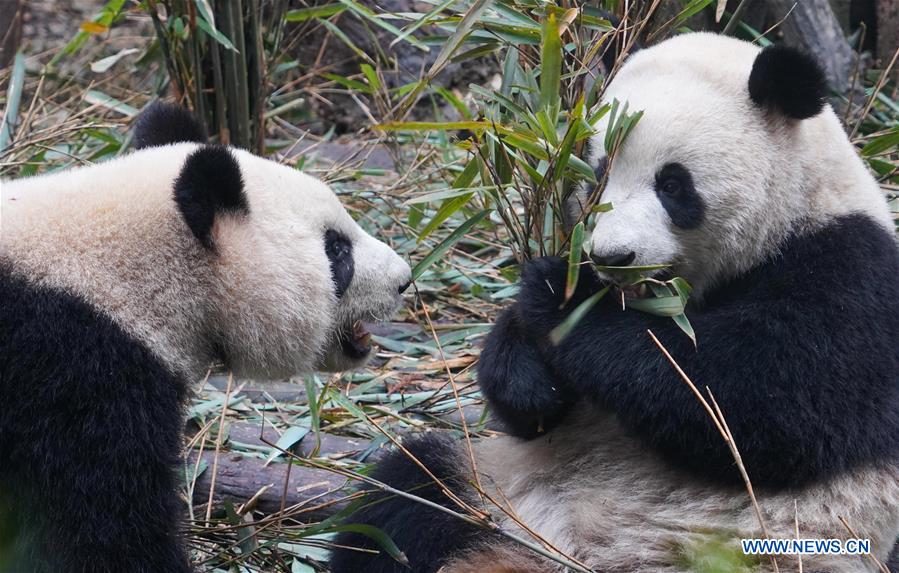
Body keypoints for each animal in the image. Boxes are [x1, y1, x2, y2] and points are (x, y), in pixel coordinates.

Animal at [330, 33, 899, 573]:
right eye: (598, 172)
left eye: (673, 184)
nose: (612, 256)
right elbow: (529, 415)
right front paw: (531, 370)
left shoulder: (851, 274)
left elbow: (756, 401)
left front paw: (563, 301)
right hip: (492, 491)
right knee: (402, 499)